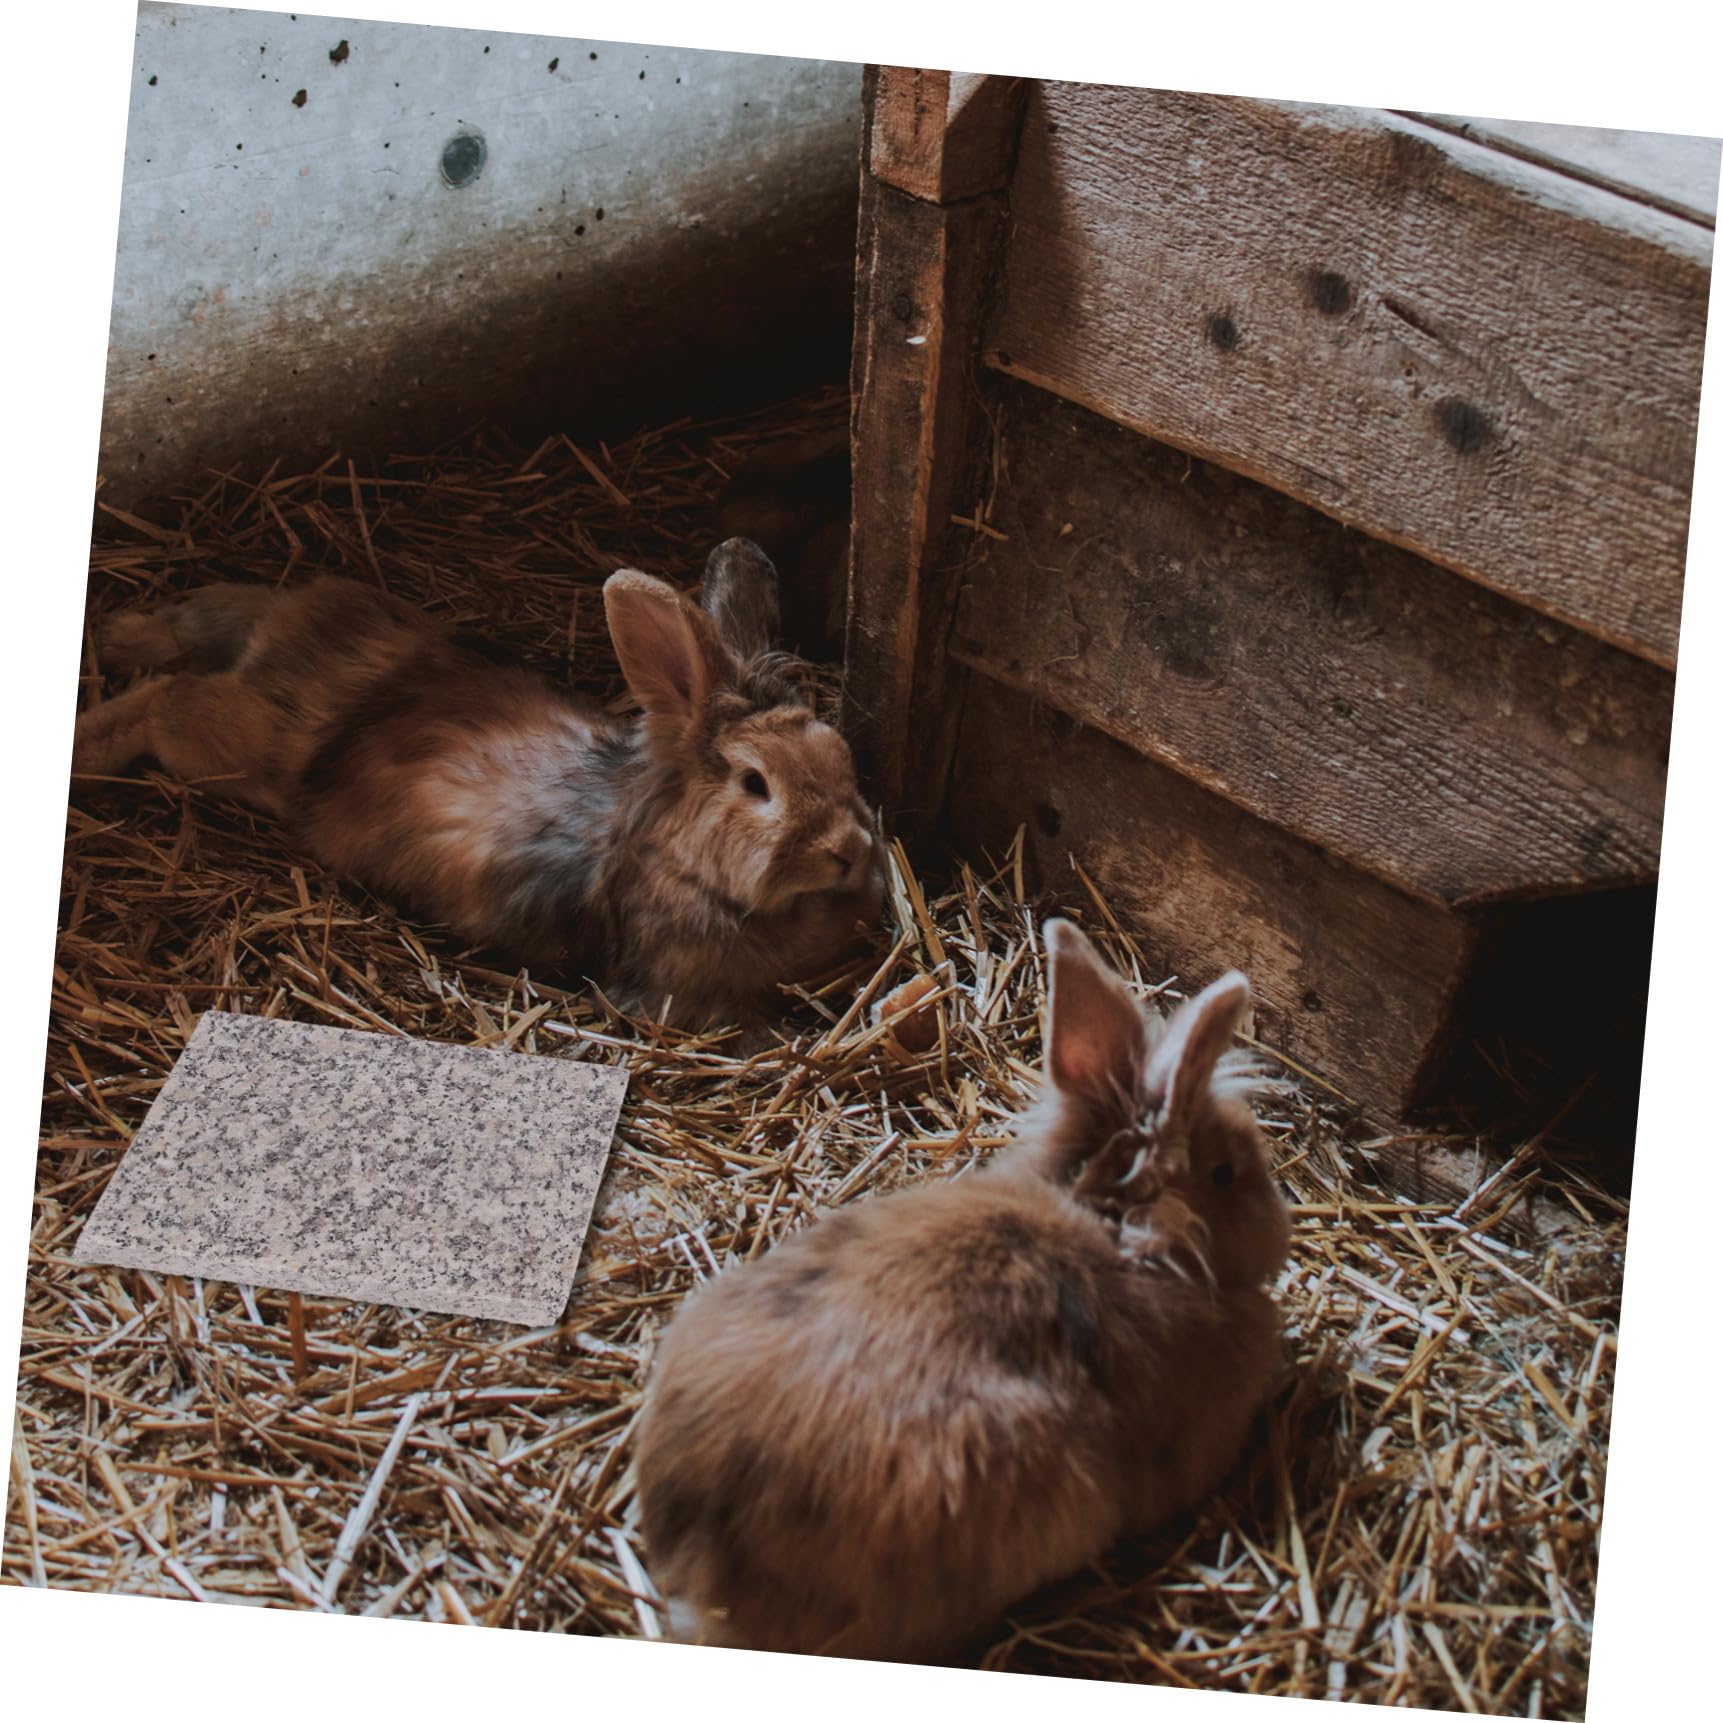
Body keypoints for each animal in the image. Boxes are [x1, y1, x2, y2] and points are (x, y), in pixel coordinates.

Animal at [70, 539, 885, 1028]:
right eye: (755, 784)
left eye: (837, 755)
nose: (848, 850)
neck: (677, 860)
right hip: (235, 746)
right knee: (166, 697)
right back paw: (88, 740)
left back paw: (117, 634)